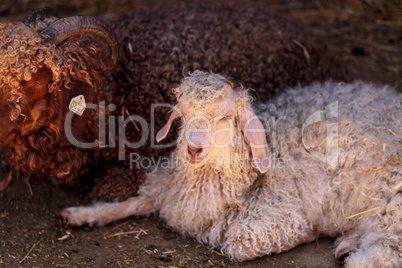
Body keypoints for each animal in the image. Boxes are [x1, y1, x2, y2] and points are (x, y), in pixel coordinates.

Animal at [59, 70, 402, 266]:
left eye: (224, 117)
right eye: (183, 113)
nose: (193, 148)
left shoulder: (276, 217)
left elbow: (237, 243)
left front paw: (311, 233)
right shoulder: (171, 195)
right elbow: (135, 201)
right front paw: (81, 214)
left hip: (391, 204)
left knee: (381, 255)